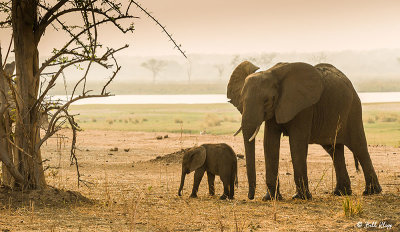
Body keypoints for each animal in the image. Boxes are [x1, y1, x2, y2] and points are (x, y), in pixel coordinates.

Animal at [228, 61, 382, 199]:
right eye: (241, 100)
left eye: (267, 101)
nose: (250, 197)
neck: (272, 73)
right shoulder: (276, 109)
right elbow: (270, 143)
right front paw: (270, 198)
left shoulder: (304, 108)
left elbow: (297, 143)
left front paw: (300, 197)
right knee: (334, 150)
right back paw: (341, 193)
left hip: (353, 109)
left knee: (359, 146)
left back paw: (371, 192)